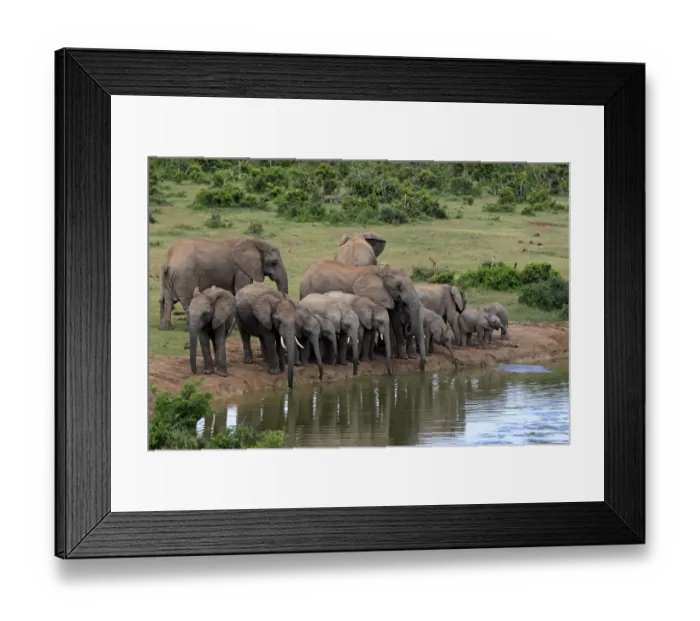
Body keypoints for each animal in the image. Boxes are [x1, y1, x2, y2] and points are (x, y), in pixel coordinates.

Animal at [159, 236, 289, 330]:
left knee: (168, 300)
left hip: (167, 277)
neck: (255, 242)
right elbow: (241, 290)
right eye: (273, 262)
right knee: (187, 300)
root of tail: (168, 259)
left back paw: (166, 328)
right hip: (185, 276)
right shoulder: (241, 270)